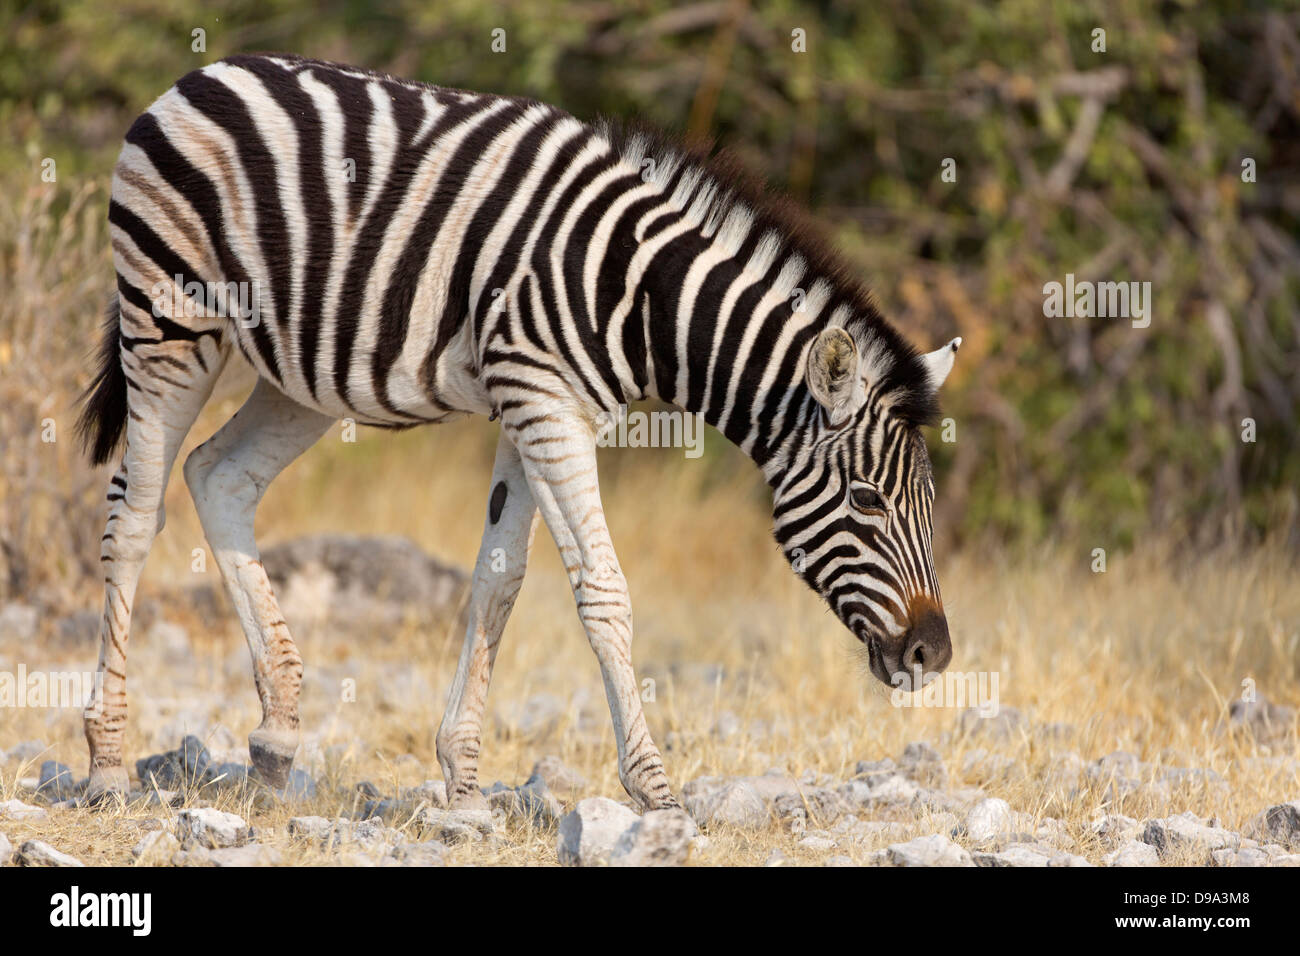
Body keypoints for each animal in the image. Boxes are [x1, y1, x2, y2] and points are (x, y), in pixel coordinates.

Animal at [76, 55, 961, 811]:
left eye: (924, 501)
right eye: (868, 500)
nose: (935, 656)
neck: (641, 298)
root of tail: (204, 73)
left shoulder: (533, 408)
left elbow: (497, 583)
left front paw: (464, 781)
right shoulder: (545, 403)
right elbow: (604, 591)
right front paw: (654, 788)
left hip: (299, 375)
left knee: (217, 476)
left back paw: (276, 738)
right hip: (170, 320)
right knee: (133, 514)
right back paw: (108, 763)